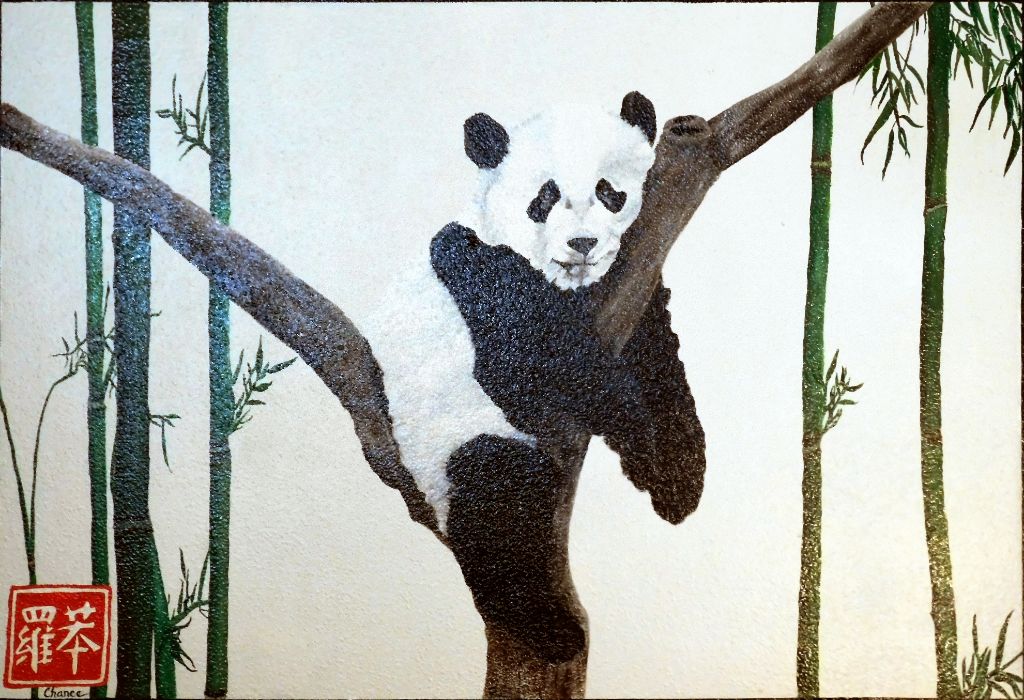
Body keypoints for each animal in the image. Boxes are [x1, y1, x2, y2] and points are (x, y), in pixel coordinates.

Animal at [360, 91, 705, 663]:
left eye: (609, 192)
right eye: (545, 197)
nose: (583, 243)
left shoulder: (633, 279)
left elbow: (660, 359)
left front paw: (676, 479)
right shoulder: (482, 280)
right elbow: (539, 362)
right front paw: (640, 439)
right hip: (447, 439)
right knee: (496, 495)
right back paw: (549, 627)